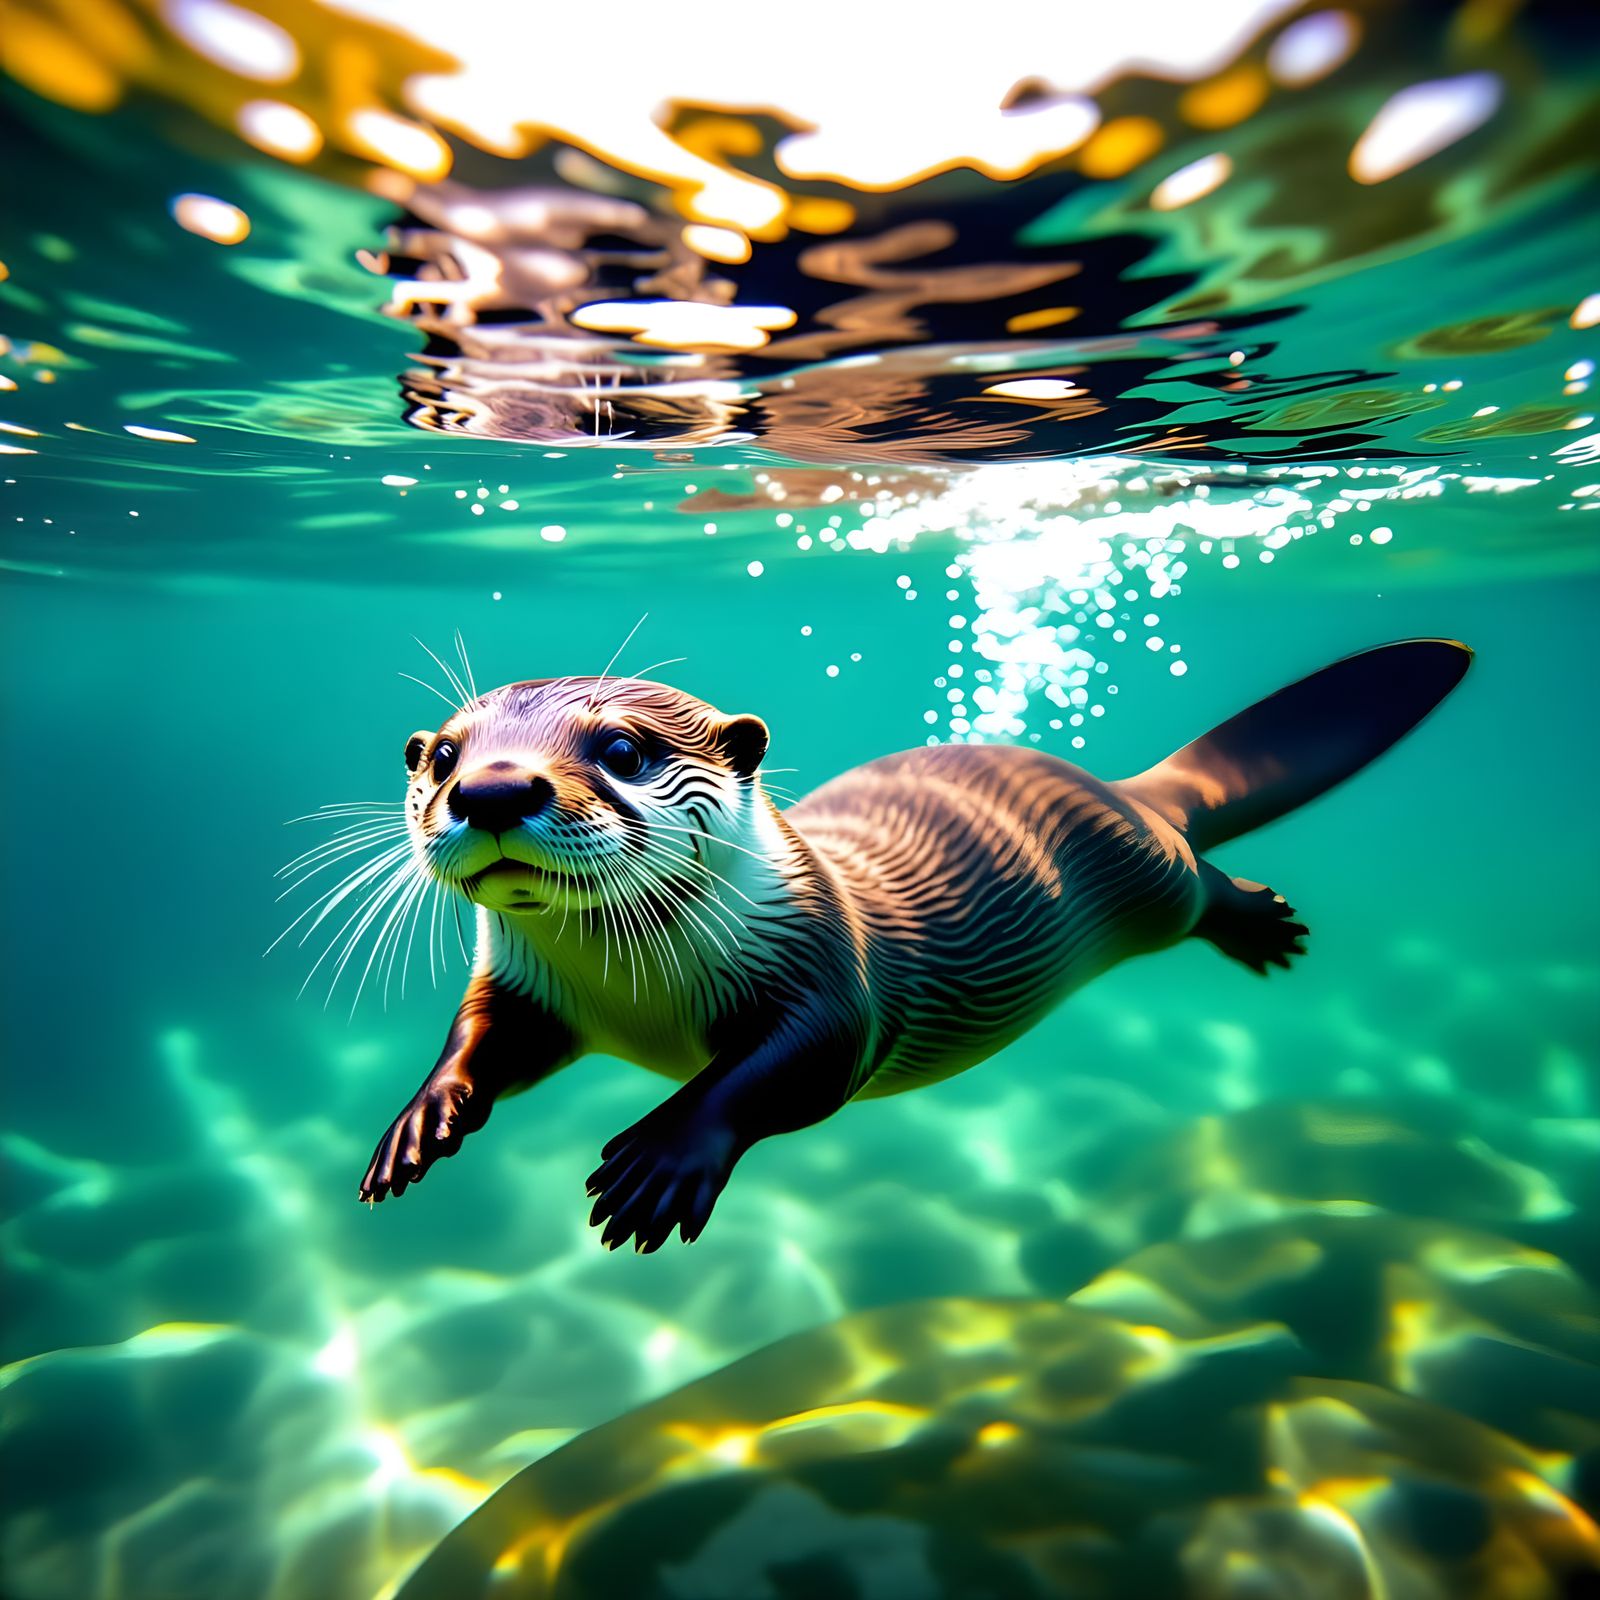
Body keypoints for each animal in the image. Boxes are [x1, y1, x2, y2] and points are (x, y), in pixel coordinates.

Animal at [356, 639, 1471, 1251]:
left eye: (622, 749)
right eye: (443, 756)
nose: (492, 788)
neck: (635, 998)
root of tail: (1121, 787)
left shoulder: (825, 967)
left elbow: (792, 1063)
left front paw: (661, 1157)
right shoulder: (530, 986)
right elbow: (486, 1037)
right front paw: (420, 1122)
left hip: (1149, 876)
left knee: (1196, 876)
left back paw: (1255, 922)